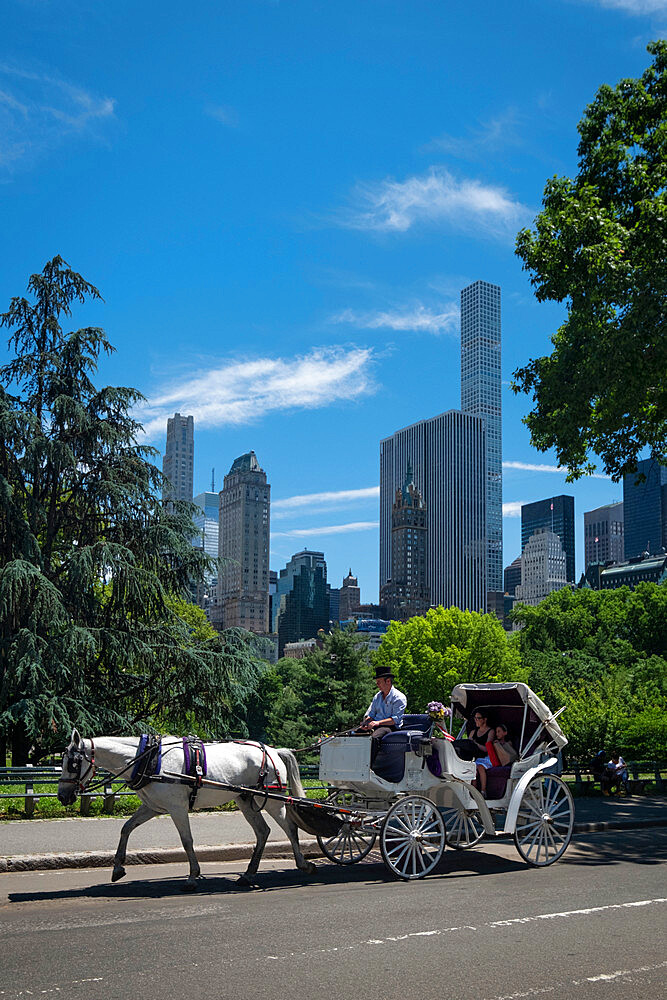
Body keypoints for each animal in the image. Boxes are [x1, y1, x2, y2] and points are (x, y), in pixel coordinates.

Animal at [56, 728, 316, 892]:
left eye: (73, 763)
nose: (62, 796)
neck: (149, 759)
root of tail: (273, 751)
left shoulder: (177, 807)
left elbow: (187, 840)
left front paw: (192, 877)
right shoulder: (152, 807)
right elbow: (126, 828)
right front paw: (118, 867)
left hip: (273, 800)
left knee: (290, 828)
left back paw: (303, 864)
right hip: (245, 799)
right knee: (263, 831)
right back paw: (249, 874)